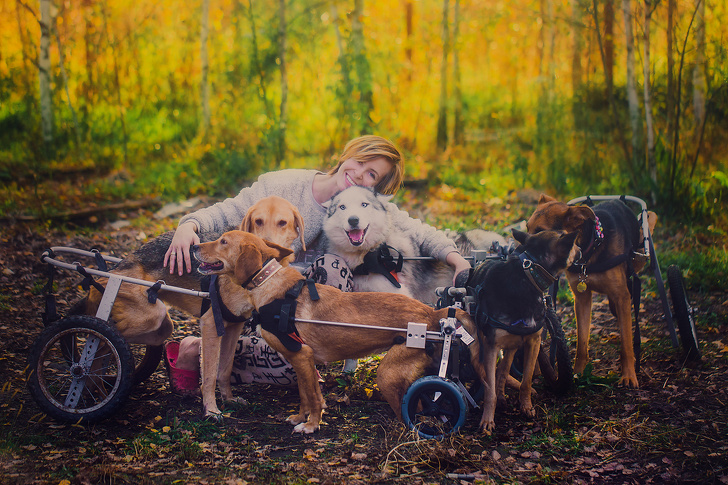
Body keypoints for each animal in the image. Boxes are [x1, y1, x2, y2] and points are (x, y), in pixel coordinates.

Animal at [193, 229, 490, 432]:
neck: (270, 285)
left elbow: (314, 398)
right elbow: (305, 394)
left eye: (223, 242)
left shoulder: (302, 355)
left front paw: (311, 425)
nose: (194, 246)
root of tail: (434, 316)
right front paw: (300, 417)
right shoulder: (301, 361)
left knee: (417, 409)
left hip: (388, 374)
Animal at [528, 195, 656, 388]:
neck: (590, 249)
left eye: (540, 231)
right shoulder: (582, 298)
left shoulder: (622, 297)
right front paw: (578, 372)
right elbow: (582, 342)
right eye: (527, 227)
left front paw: (628, 375)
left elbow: (626, 344)